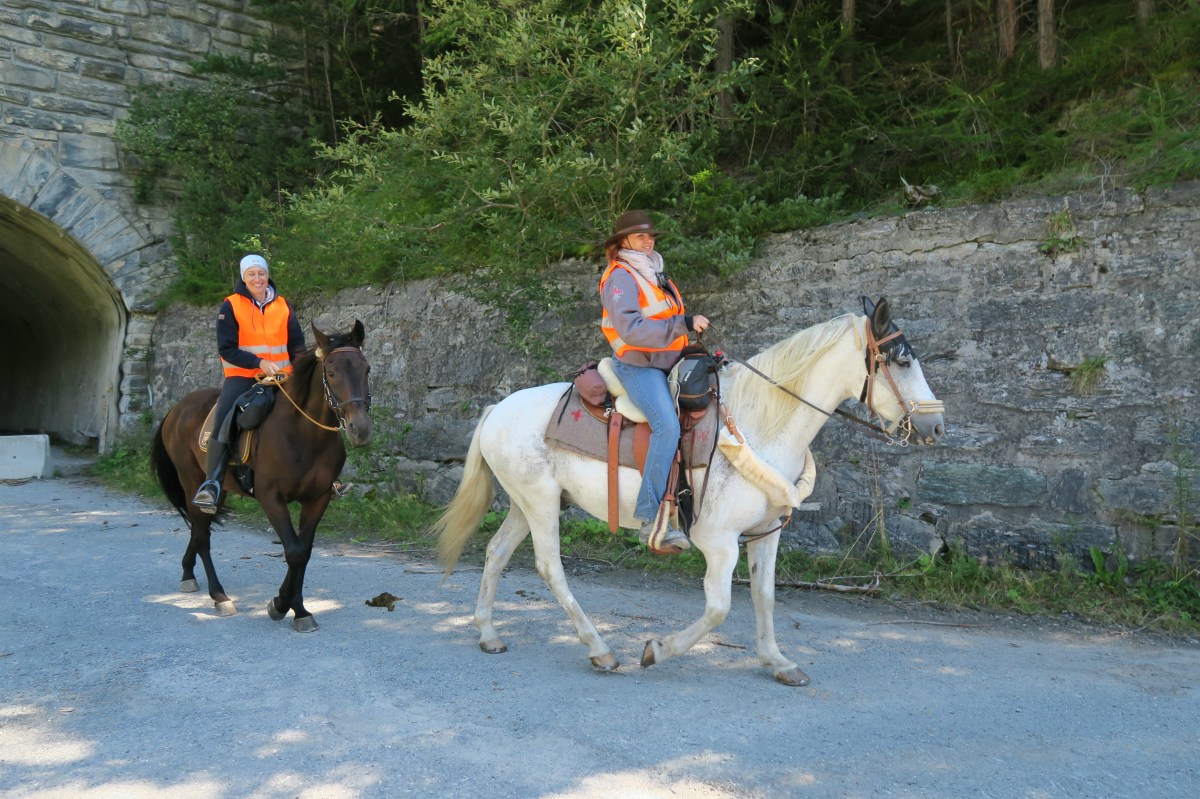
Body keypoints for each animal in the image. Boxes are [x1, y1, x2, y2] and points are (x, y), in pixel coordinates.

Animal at [151, 320, 372, 632]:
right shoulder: (271, 498)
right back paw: (219, 596)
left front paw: (298, 609)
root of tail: (178, 407)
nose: (360, 429)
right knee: (203, 535)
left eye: (366, 369)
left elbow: (304, 552)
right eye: (331, 372)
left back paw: (187, 573)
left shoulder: (318, 499)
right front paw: (281, 605)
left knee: (198, 529)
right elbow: (293, 551)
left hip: (219, 488)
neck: (304, 435)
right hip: (191, 480)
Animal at [434, 297, 944, 685]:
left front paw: (777, 661)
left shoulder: (766, 534)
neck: (760, 422)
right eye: (902, 361)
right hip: (539, 504)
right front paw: (657, 650)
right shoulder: (718, 542)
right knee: (549, 567)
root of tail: (498, 408)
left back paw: (488, 633)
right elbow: (719, 608)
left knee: (497, 552)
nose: (936, 426)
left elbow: (765, 596)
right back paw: (600, 649)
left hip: (528, 504)